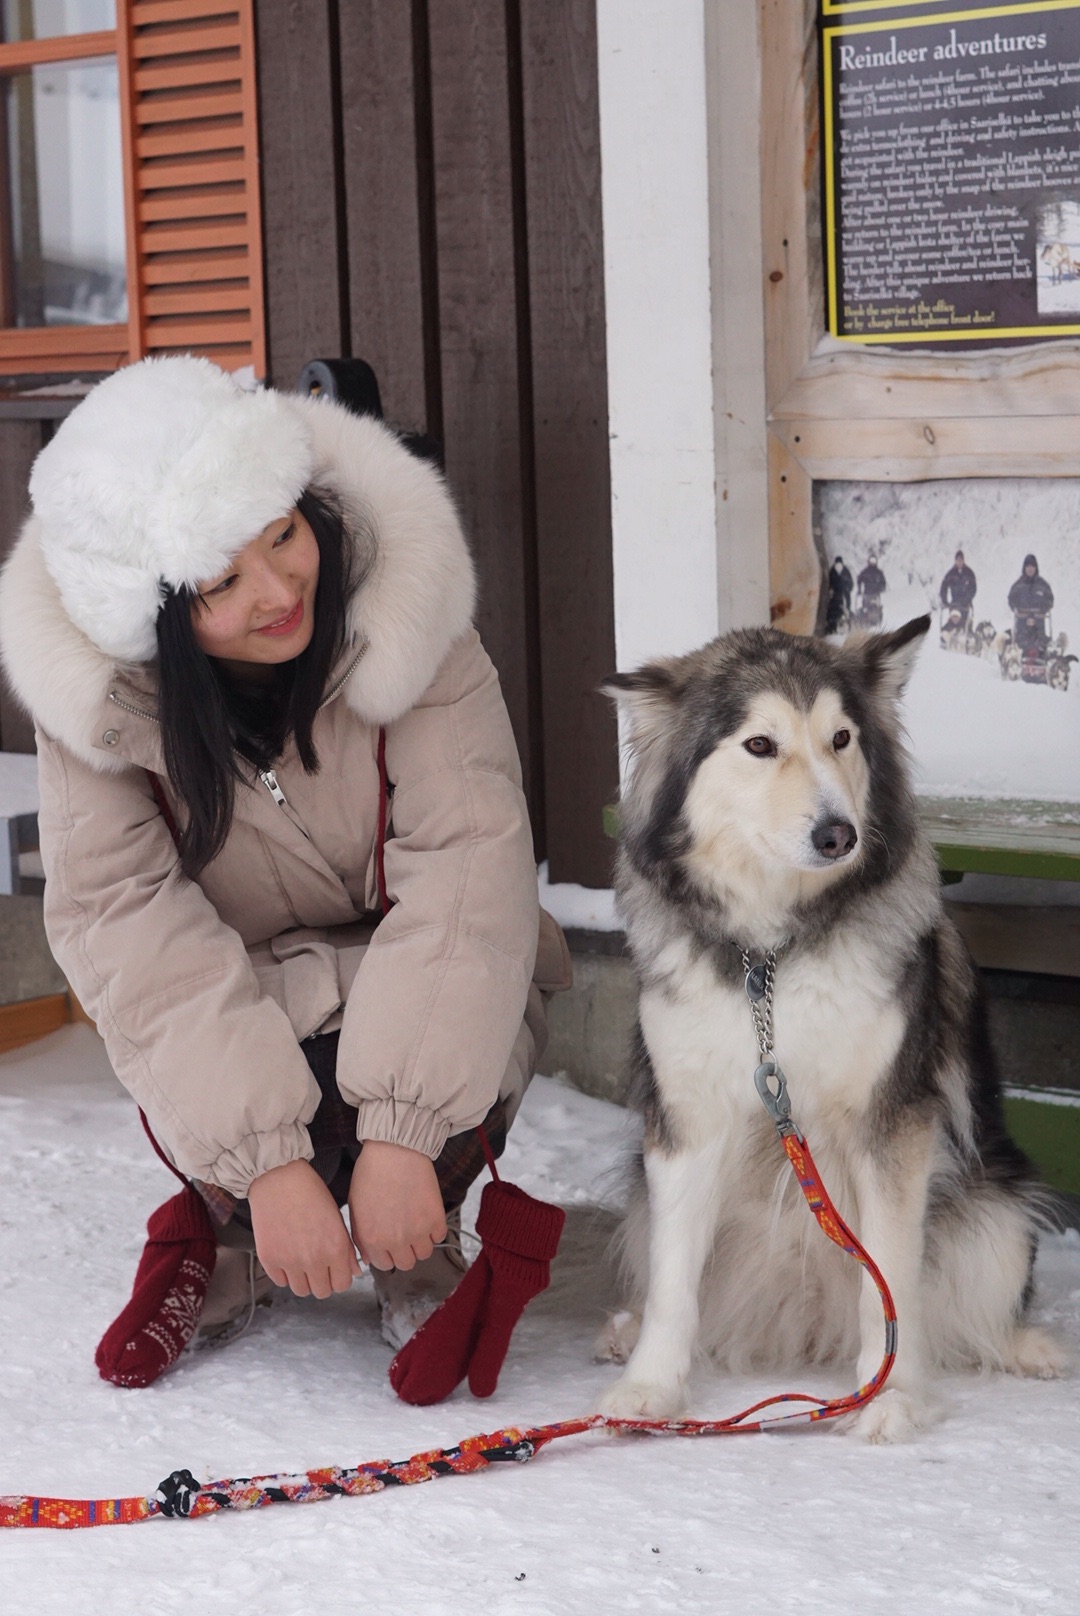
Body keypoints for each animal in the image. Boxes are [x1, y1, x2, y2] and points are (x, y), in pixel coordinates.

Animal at [598, 614, 1060, 1441]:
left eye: (842, 738)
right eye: (760, 744)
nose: (838, 834)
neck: (770, 961)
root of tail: (807, 1324)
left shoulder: (890, 1125)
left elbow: (890, 1278)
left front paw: (891, 1395)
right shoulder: (686, 1124)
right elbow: (674, 1282)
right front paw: (651, 1387)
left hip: (1000, 1213)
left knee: (973, 1310)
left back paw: (1022, 1347)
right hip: (643, 1201)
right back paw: (626, 1331)